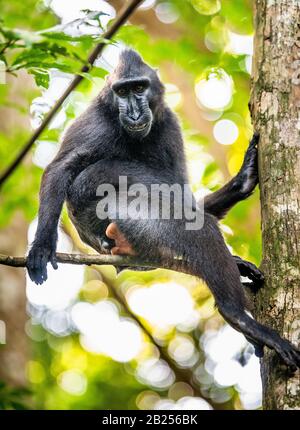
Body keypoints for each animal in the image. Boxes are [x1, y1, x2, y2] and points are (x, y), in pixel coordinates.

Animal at [27, 49, 298, 366]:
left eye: (139, 88)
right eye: (122, 92)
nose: (133, 112)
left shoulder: (168, 123)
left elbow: (180, 184)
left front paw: (242, 181)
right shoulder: (95, 121)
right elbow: (61, 168)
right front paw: (41, 247)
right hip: (119, 215)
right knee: (189, 220)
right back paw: (237, 315)